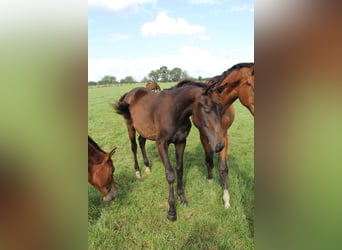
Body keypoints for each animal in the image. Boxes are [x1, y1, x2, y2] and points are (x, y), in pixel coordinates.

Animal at [113, 82, 223, 221]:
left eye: (220, 109)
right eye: (207, 110)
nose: (220, 145)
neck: (175, 112)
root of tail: (130, 93)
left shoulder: (181, 142)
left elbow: (180, 169)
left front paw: (182, 198)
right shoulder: (161, 144)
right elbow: (170, 174)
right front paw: (171, 211)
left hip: (144, 128)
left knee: (141, 141)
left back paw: (147, 167)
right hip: (130, 126)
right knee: (134, 146)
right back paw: (138, 171)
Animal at [200, 62, 254, 209]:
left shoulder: (224, 137)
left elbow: (223, 168)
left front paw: (226, 200)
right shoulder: (203, 135)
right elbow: (209, 160)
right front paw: (210, 181)